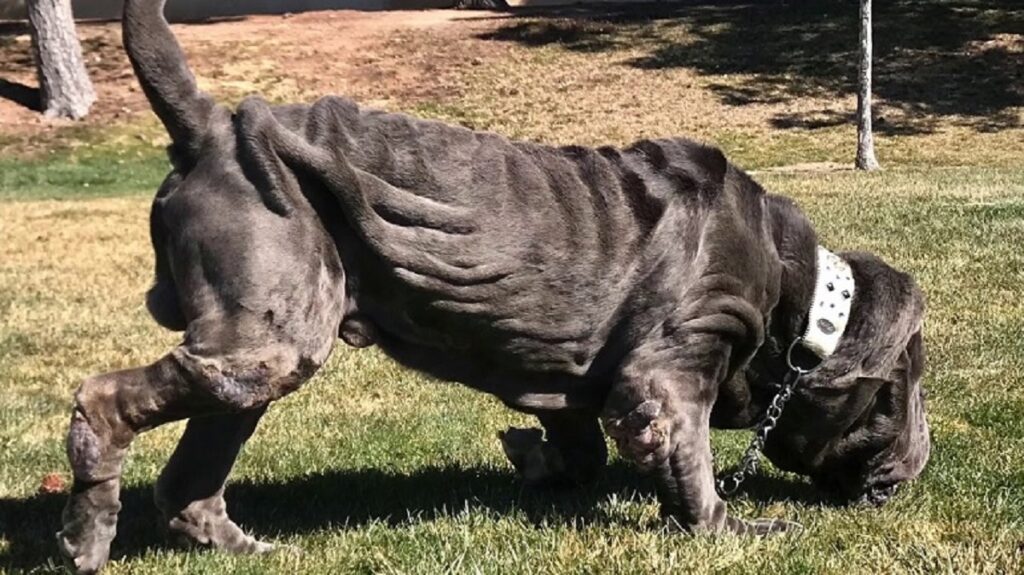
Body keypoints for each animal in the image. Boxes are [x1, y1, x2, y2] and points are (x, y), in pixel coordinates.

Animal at [59, 2, 933, 568]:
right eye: (893, 398)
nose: (914, 469)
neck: (798, 301)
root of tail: (212, 128)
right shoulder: (674, 365)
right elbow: (688, 459)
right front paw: (731, 528)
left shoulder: (583, 380)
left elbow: (579, 443)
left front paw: (533, 460)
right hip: (268, 336)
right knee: (105, 400)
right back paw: (87, 532)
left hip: (261, 339)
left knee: (195, 466)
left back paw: (241, 545)